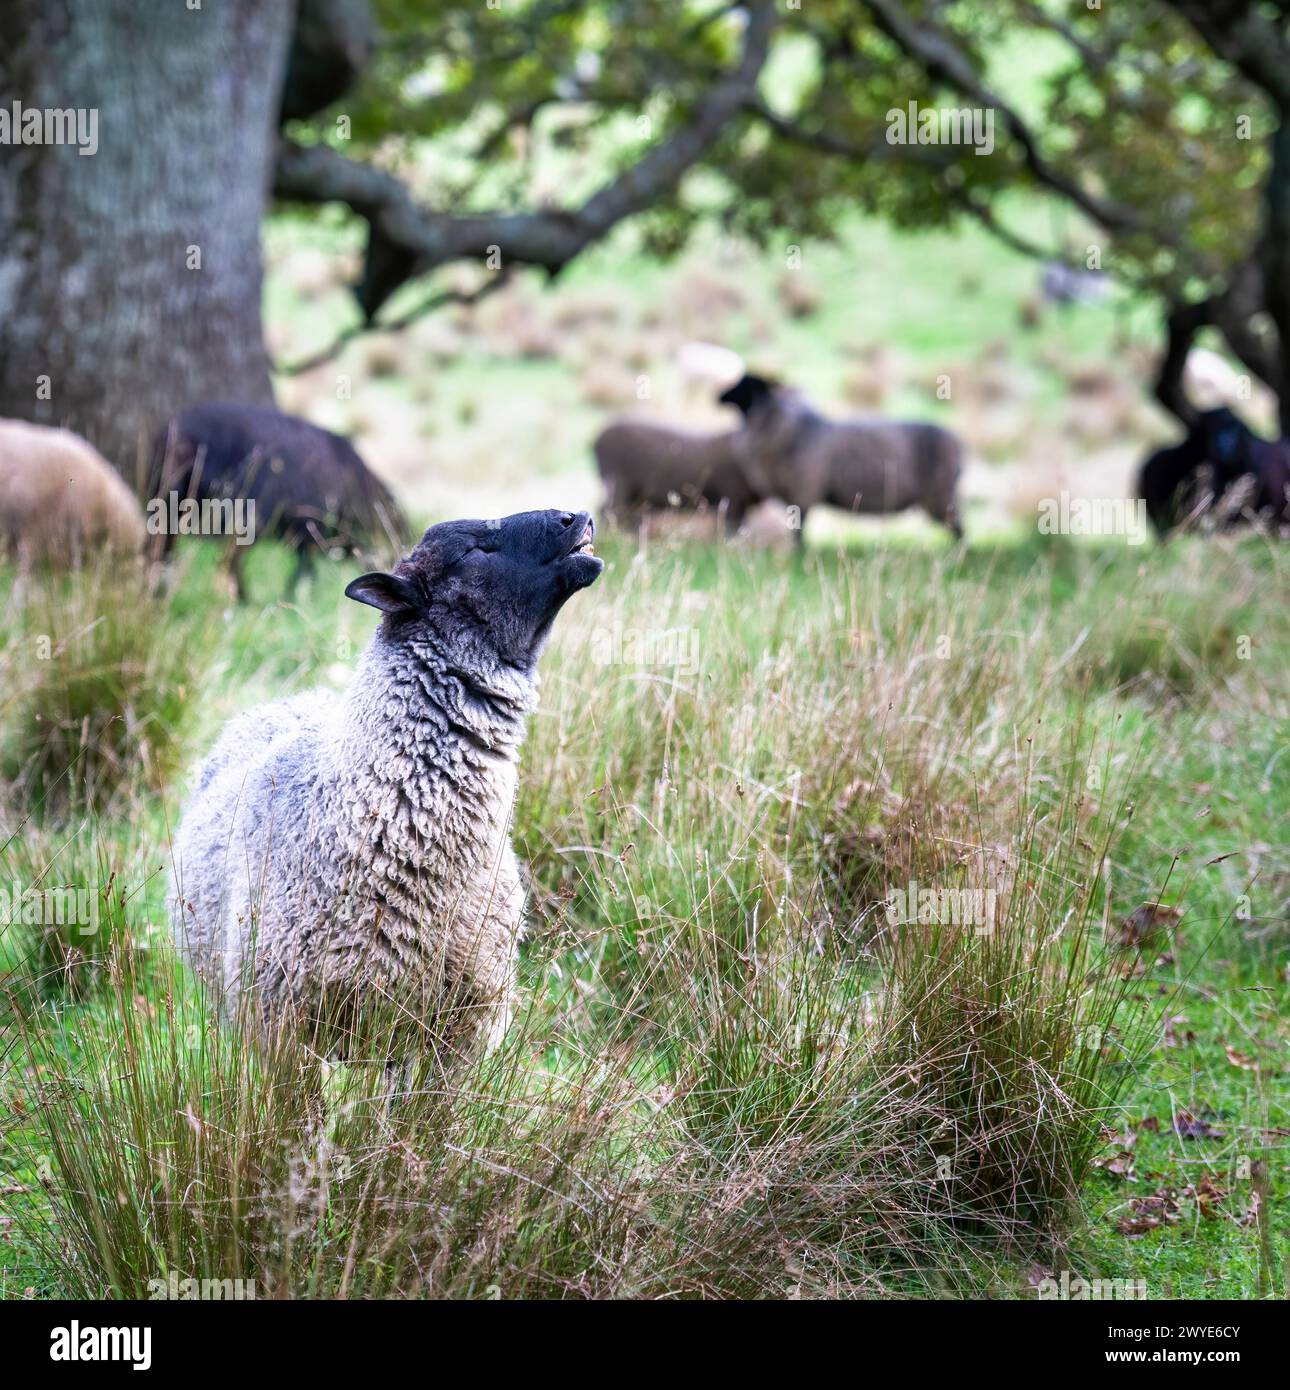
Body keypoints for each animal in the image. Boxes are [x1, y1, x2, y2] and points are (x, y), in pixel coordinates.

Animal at [152, 403, 411, 597]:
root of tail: (185, 435)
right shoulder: (305, 527)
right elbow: (305, 571)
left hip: (168, 503)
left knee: (162, 548)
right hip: (243, 515)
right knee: (227, 562)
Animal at [722, 369, 961, 542]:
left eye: (747, 385)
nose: (719, 397)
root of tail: (959, 444)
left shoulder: (803, 492)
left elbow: (800, 532)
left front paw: (798, 560)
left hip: (940, 495)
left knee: (959, 531)